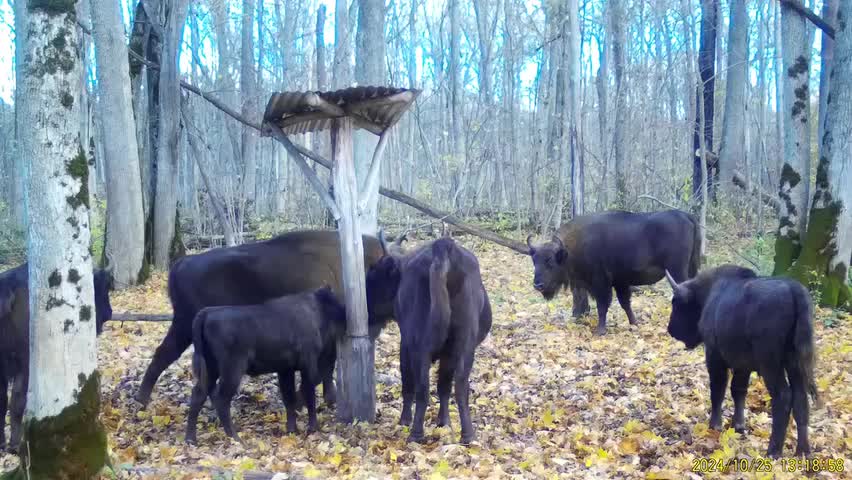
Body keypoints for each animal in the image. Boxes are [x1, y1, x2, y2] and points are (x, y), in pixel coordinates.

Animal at [135, 231, 402, 406]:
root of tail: (181, 263)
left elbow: (327, 368)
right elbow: (325, 367)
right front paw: (319, 399)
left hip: (184, 326)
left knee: (166, 354)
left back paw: (144, 400)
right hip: (187, 324)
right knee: (169, 355)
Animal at [186, 286, 346, 444]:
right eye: (335, 301)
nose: (344, 313)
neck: (315, 308)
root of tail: (207, 313)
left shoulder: (286, 370)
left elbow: (289, 398)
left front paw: (292, 430)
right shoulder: (308, 365)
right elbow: (309, 394)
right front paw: (312, 428)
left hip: (211, 370)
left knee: (198, 394)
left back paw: (191, 439)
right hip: (232, 371)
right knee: (221, 399)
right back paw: (236, 438)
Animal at [366, 238, 492, 444]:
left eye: (375, 275)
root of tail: (443, 245)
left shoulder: (406, 344)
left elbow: (408, 384)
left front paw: (405, 420)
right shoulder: (449, 354)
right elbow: (444, 386)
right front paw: (444, 422)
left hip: (420, 347)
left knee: (422, 387)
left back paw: (415, 434)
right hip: (464, 345)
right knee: (460, 386)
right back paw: (468, 435)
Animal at [664, 266, 820, 458]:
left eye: (677, 303)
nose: (671, 329)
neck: (709, 293)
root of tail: (794, 291)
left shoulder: (715, 357)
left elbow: (718, 390)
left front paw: (715, 425)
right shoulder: (742, 366)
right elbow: (738, 391)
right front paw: (738, 426)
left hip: (770, 365)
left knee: (783, 396)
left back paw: (773, 451)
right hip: (795, 364)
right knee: (800, 400)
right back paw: (803, 452)